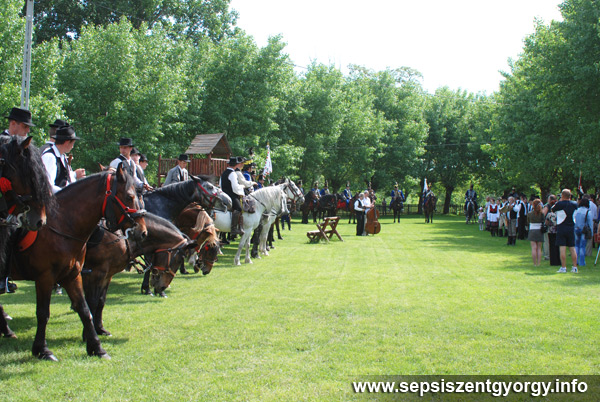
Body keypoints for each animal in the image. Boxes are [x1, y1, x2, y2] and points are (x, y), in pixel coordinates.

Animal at [0, 168, 147, 361]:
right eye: (130, 196)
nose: (142, 231)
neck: (62, 227)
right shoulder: (46, 277)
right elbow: (43, 312)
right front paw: (42, 350)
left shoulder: (73, 275)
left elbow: (85, 309)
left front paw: (96, 347)